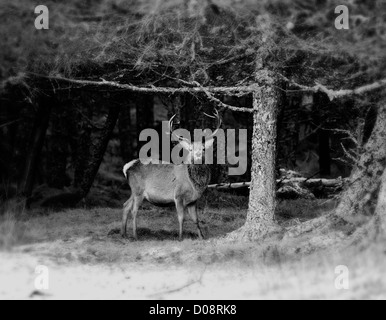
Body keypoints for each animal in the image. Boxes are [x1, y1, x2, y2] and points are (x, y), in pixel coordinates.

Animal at [122, 111, 222, 241]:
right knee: (134, 211)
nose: (198, 156)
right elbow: (181, 218)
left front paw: (202, 237)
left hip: (134, 190)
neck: (194, 185)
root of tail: (127, 167)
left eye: (204, 148)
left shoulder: (193, 200)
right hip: (138, 190)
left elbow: (196, 219)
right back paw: (135, 235)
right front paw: (180, 237)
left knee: (125, 205)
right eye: (190, 149)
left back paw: (123, 234)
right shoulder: (178, 195)